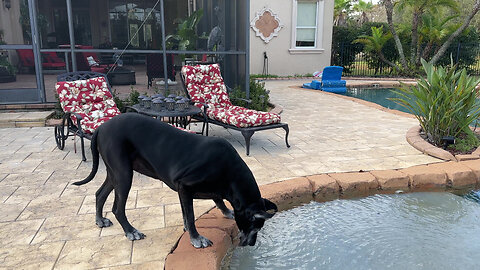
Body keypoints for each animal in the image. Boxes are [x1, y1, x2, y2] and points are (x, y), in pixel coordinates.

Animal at [75, 113, 278, 248]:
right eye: (255, 229)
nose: (251, 244)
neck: (230, 172)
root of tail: (101, 127)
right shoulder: (185, 187)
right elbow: (191, 216)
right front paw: (196, 238)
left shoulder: (190, 191)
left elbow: (208, 203)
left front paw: (225, 212)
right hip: (124, 174)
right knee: (118, 208)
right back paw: (130, 231)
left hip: (114, 173)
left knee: (99, 193)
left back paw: (100, 219)